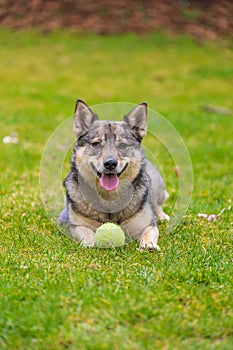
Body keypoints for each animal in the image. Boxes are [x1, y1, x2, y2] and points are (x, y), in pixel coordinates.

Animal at [60, 100, 169, 250]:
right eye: (96, 144)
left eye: (122, 145)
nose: (110, 163)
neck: (109, 197)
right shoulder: (78, 225)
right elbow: (86, 233)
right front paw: (89, 244)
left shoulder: (148, 225)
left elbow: (148, 233)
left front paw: (149, 245)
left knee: (158, 205)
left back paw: (162, 216)